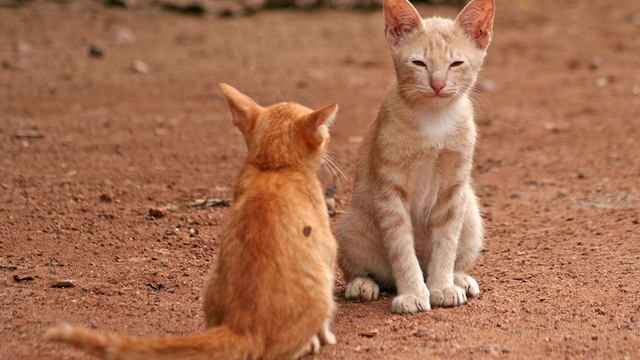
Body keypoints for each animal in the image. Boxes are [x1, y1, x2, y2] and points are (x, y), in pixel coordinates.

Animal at [45, 85, 340, 360]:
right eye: (326, 136)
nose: (329, 139)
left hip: (211, 279)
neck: (273, 168)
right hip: (319, 287)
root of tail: (243, 328)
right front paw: (327, 337)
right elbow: (325, 322)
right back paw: (309, 344)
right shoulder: (327, 247)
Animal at [338, 0, 492, 314]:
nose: (437, 84)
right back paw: (361, 284)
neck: (434, 121)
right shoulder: (389, 190)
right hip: (352, 227)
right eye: (419, 63)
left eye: (456, 64)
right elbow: (401, 247)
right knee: (358, 268)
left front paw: (442, 286)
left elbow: (446, 243)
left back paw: (460, 278)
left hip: (471, 215)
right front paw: (412, 293)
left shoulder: (454, 189)